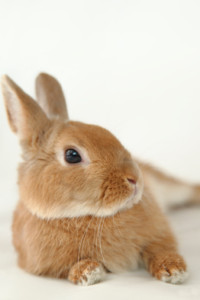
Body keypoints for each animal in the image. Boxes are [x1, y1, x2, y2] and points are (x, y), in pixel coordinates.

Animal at [0, 73, 199, 286]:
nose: (134, 179)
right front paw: (88, 271)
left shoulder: (159, 232)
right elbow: (67, 269)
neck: (87, 216)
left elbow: (160, 248)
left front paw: (174, 269)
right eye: (72, 155)